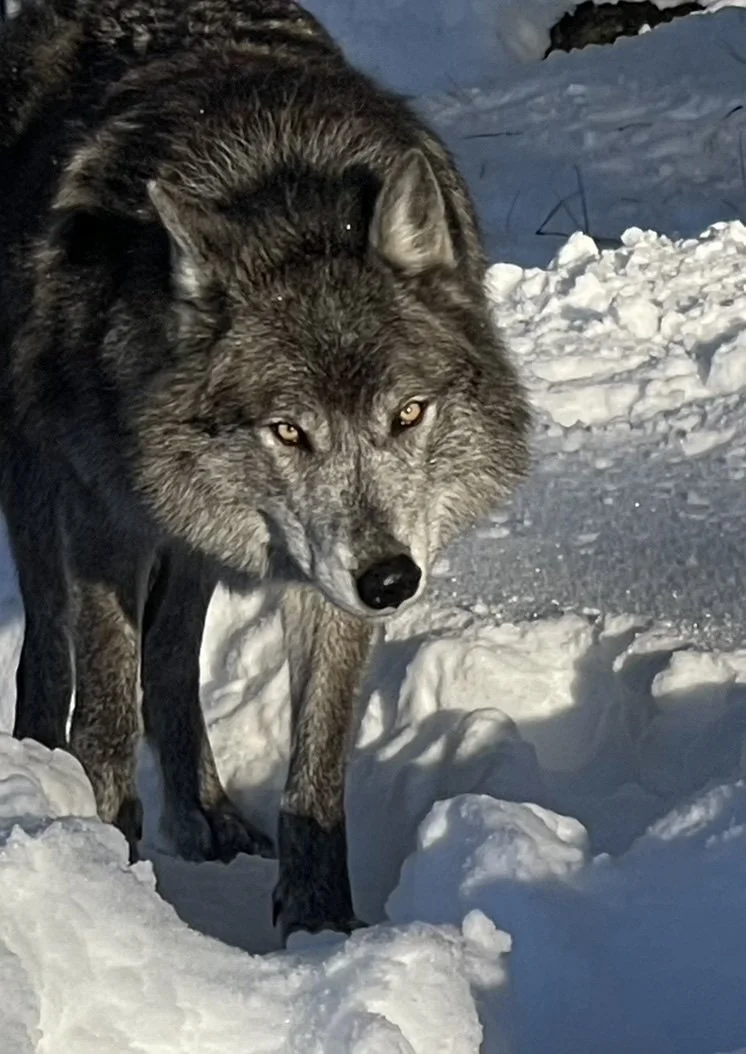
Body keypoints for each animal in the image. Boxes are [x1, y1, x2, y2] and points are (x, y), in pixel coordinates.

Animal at [0, 0, 530, 939]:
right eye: (289, 430)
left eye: (408, 414)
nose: (392, 582)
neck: (286, 190)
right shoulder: (109, 519)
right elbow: (104, 709)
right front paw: (108, 861)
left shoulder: (327, 574)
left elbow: (316, 763)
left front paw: (320, 927)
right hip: (37, 479)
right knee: (50, 648)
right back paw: (39, 767)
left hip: (204, 539)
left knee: (171, 655)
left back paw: (205, 814)